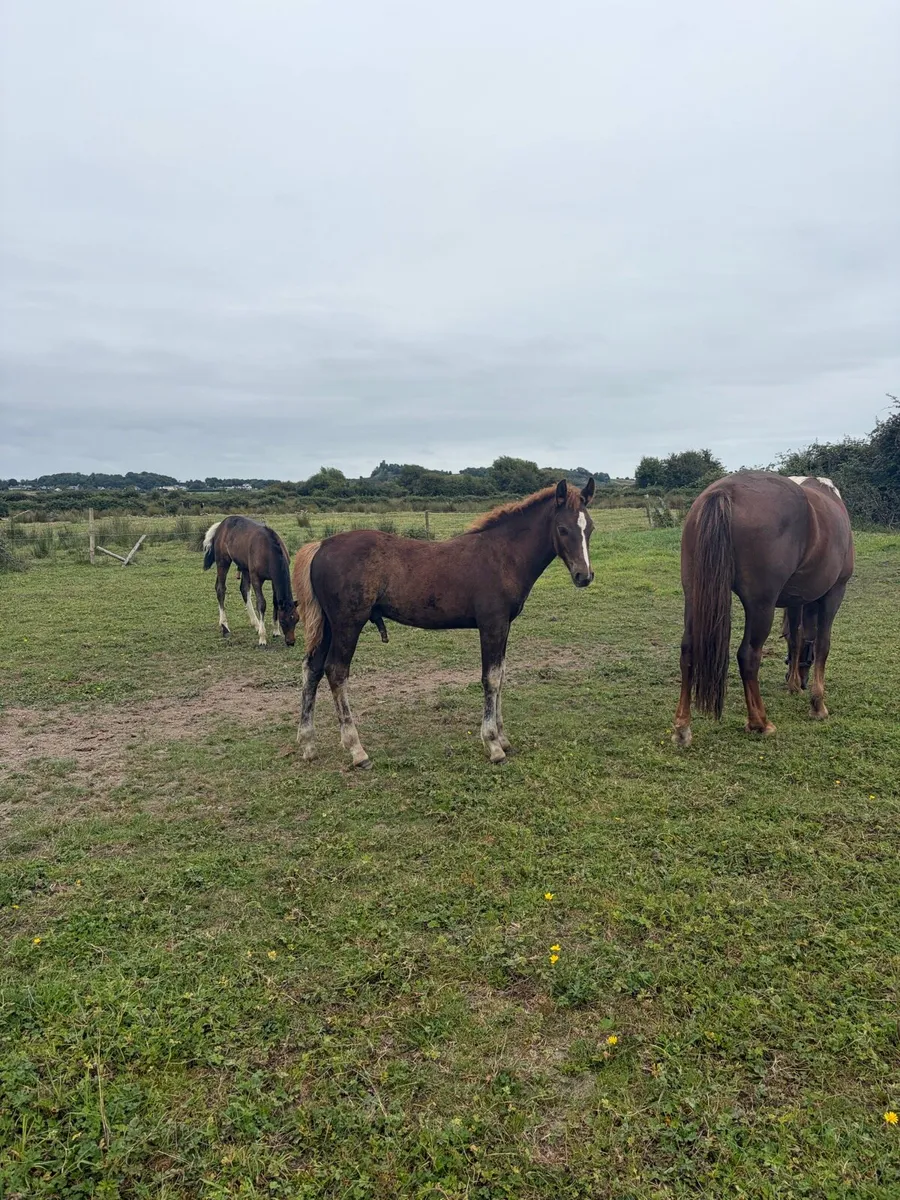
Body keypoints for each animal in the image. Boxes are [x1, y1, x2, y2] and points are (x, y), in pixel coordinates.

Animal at [202, 516, 299, 647]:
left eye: (297, 619)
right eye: (283, 621)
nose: (291, 642)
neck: (268, 550)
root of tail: (221, 525)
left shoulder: (274, 580)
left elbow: (275, 601)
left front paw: (275, 631)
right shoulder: (256, 579)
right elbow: (262, 604)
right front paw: (262, 638)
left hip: (244, 567)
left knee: (243, 589)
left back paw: (256, 624)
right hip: (223, 562)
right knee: (220, 589)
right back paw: (225, 627)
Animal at [291, 478, 596, 769]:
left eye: (590, 528)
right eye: (562, 529)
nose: (584, 576)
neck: (502, 556)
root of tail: (321, 545)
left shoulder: (504, 626)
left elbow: (501, 674)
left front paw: (503, 738)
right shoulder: (492, 624)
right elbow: (491, 678)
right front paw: (493, 744)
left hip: (328, 626)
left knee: (312, 669)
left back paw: (308, 744)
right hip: (348, 624)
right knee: (336, 671)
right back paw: (357, 750)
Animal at [672, 472, 854, 746]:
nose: (803, 682)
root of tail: (725, 491)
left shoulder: (796, 600)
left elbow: (796, 637)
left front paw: (793, 684)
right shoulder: (834, 593)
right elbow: (822, 645)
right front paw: (818, 705)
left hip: (694, 594)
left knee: (689, 651)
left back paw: (682, 727)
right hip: (761, 606)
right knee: (748, 655)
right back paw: (759, 722)